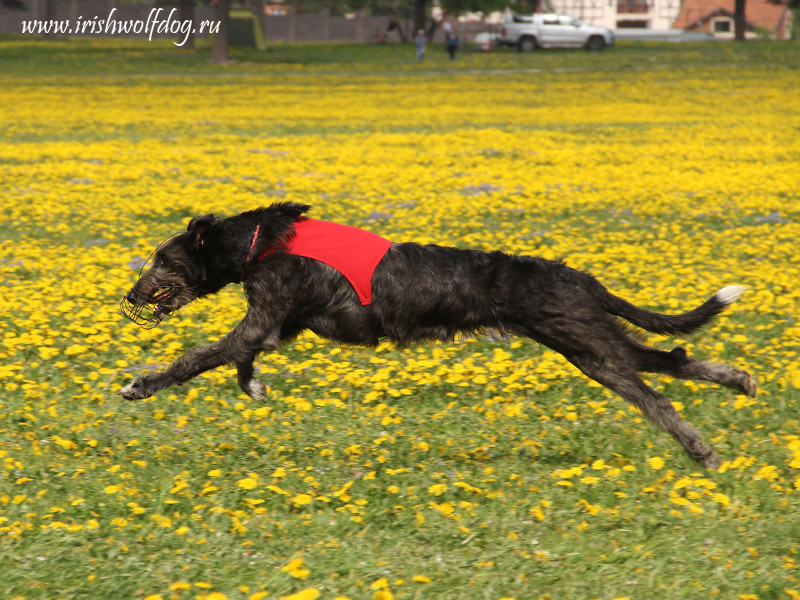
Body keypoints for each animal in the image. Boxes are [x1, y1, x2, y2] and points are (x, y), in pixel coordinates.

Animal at [119, 202, 756, 468]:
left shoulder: (267, 312)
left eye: (161, 259)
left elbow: (202, 355)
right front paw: (253, 388)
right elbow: (242, 358)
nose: (128, 296)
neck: (258, 241)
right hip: (590, 346)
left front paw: (140, 384)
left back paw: (702, 449)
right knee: (670, 357)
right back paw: (738, 381)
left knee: (656, 393)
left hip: (588, 343)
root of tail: (580, 277)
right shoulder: (277, 325)